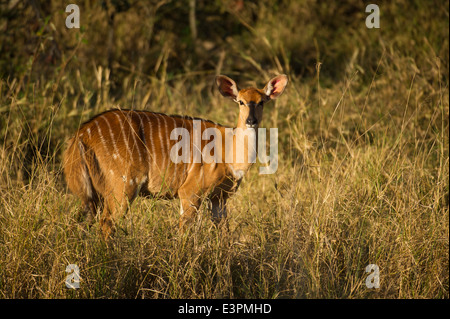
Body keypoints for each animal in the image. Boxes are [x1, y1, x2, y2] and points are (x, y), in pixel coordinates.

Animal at [63, 75, 288, 240]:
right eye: (240, 101)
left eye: (262, 102)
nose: (251, 120)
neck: (230, 153)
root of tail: (81, 134)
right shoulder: (190, 191)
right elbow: (184, 234)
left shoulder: (219, 197)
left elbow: (224, 234)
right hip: (123, 184)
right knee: (107, 223)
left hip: (94, 192)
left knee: (81, 221)